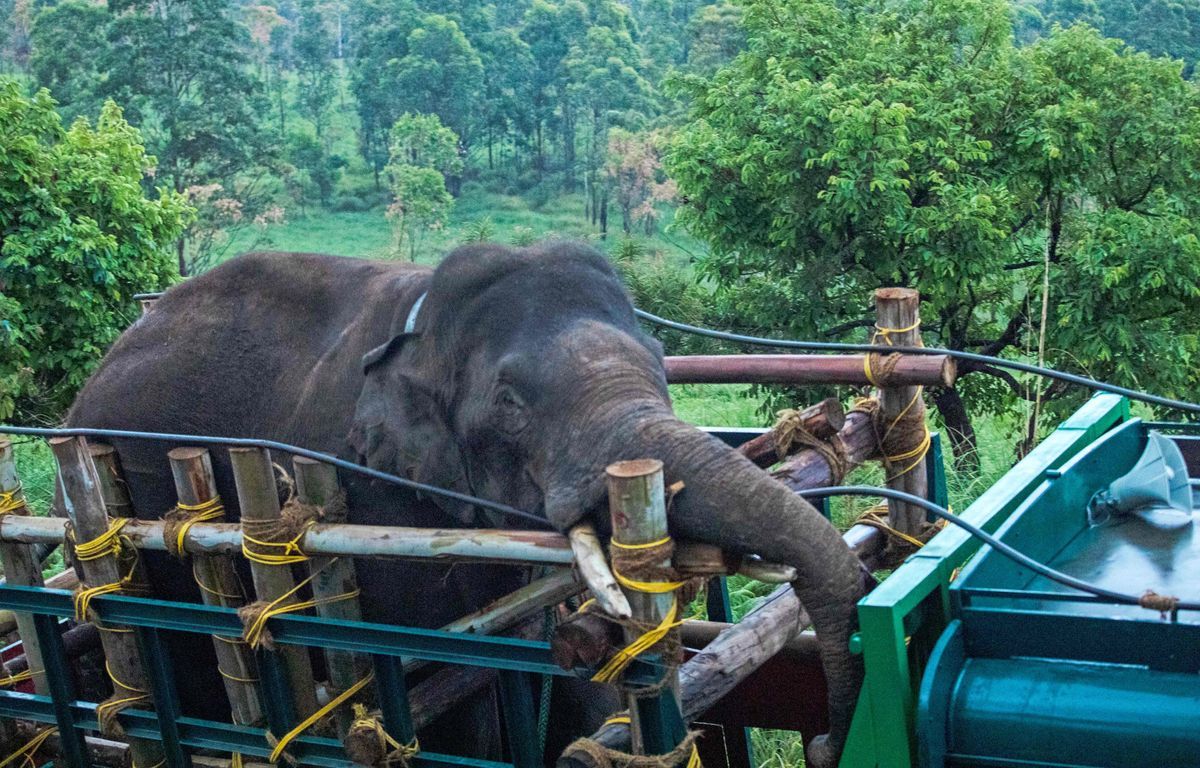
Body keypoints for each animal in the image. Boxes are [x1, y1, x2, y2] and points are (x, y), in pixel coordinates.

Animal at [65, 244, 868, 768]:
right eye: (510, 404)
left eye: (662, 364)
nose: (827, 744)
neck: (422, 325)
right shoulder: (372, 493)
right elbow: (446, 689)